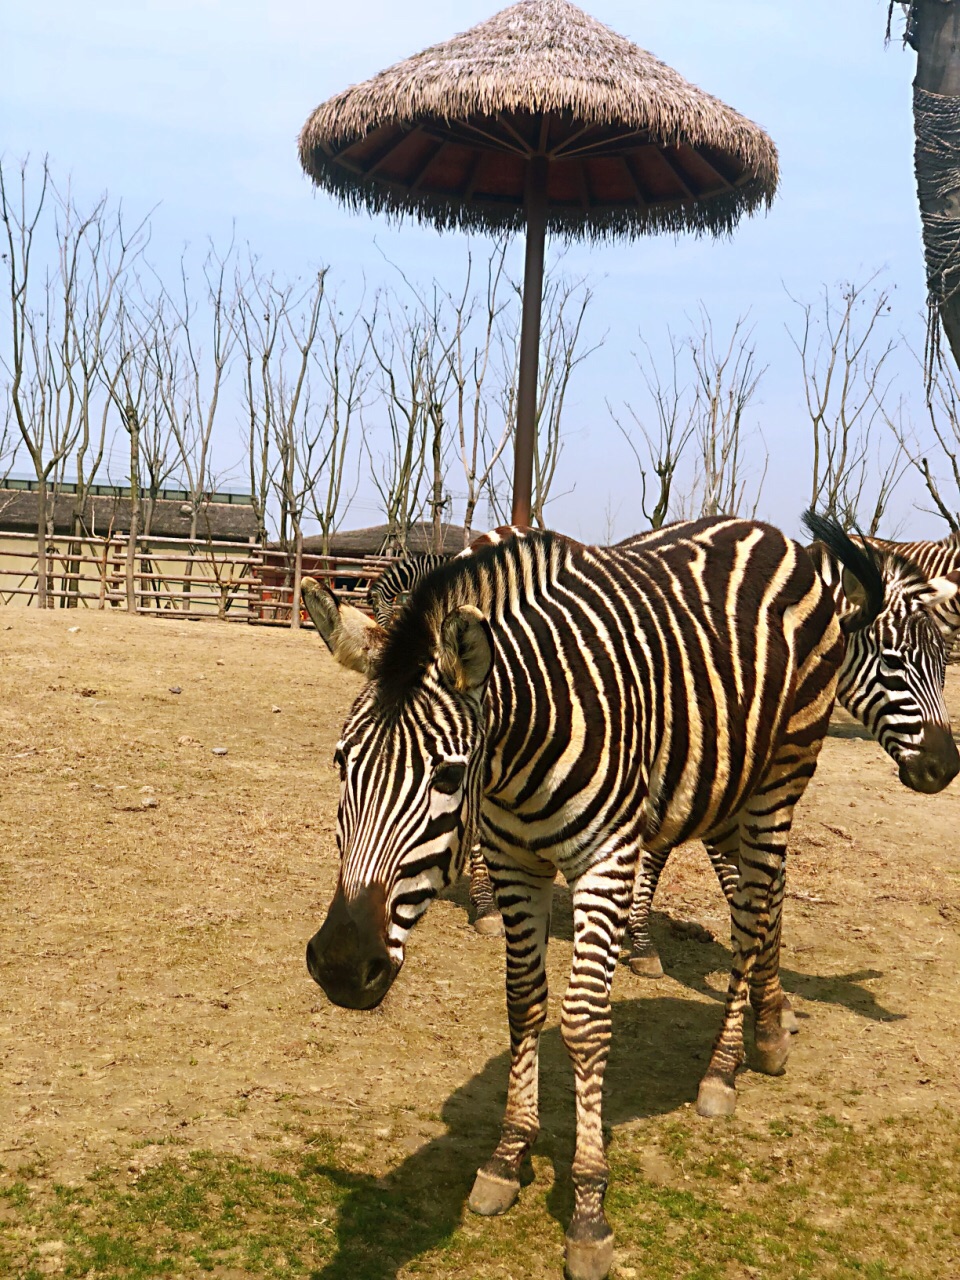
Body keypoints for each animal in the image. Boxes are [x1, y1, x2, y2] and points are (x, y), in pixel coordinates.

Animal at [299, 512, 865, 1280]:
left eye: (447, 776)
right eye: (340, 763)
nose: (339, 966)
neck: (519, 751)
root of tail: (764, 529)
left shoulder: (606, 860)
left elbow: (586, 1023)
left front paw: (589, 1212)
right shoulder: (513, 862)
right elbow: (523, 1003)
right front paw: (508, 1157)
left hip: (780, 780)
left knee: (752, 916)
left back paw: (723, 1072)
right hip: (726, 787)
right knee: (763, 899)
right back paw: (771, 1030)